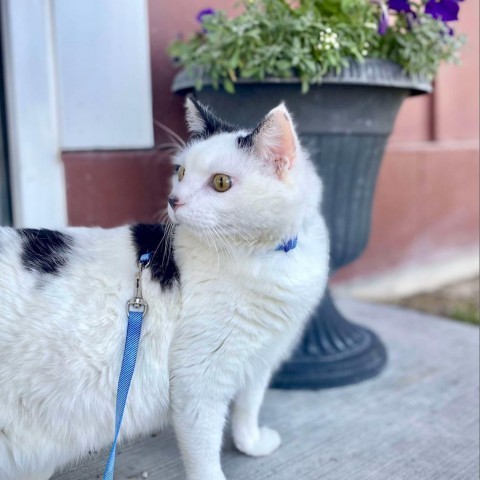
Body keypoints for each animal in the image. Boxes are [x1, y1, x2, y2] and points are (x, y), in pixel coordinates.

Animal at [0, 98, 330, 480]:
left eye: (220, 182)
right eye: (181, 171)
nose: (174, 199)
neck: (264, 255)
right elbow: (205, 456)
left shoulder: (259, 360)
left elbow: (248, 407)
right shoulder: (198, 381)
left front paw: (253, 444)